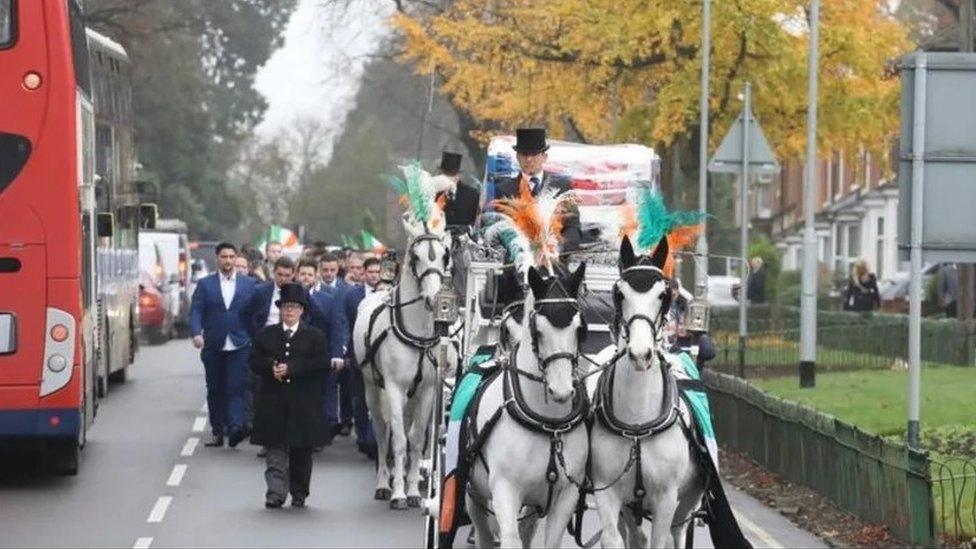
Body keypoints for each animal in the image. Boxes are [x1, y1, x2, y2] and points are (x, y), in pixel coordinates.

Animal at [352, 216, 456, 508]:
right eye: (415, 257)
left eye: (444, 256)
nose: (435, 299)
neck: (417, 332)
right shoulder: (394, 388)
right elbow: (398, 439)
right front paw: (398, 492)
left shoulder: (428, 390)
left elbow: (417, 437)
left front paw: (412, 492)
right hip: (372, 389)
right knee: (382, 431)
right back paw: (383, 484)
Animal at [468, 264, 592, 544]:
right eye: (538, 330)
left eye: (580, 329)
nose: (561, 389)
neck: (548, 424)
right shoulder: (505, 491)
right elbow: (509, 537)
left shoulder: (566, 496)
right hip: (474, 493)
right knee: (482, 531)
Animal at [588, 237, 700, 548]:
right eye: (619, 293)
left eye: (664, 295)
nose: (640, 354)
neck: (637, 424)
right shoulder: (607, 491)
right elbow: (613, 539)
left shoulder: (666, 498)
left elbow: (660, 539)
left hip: (688, 500)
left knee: (679, 530)